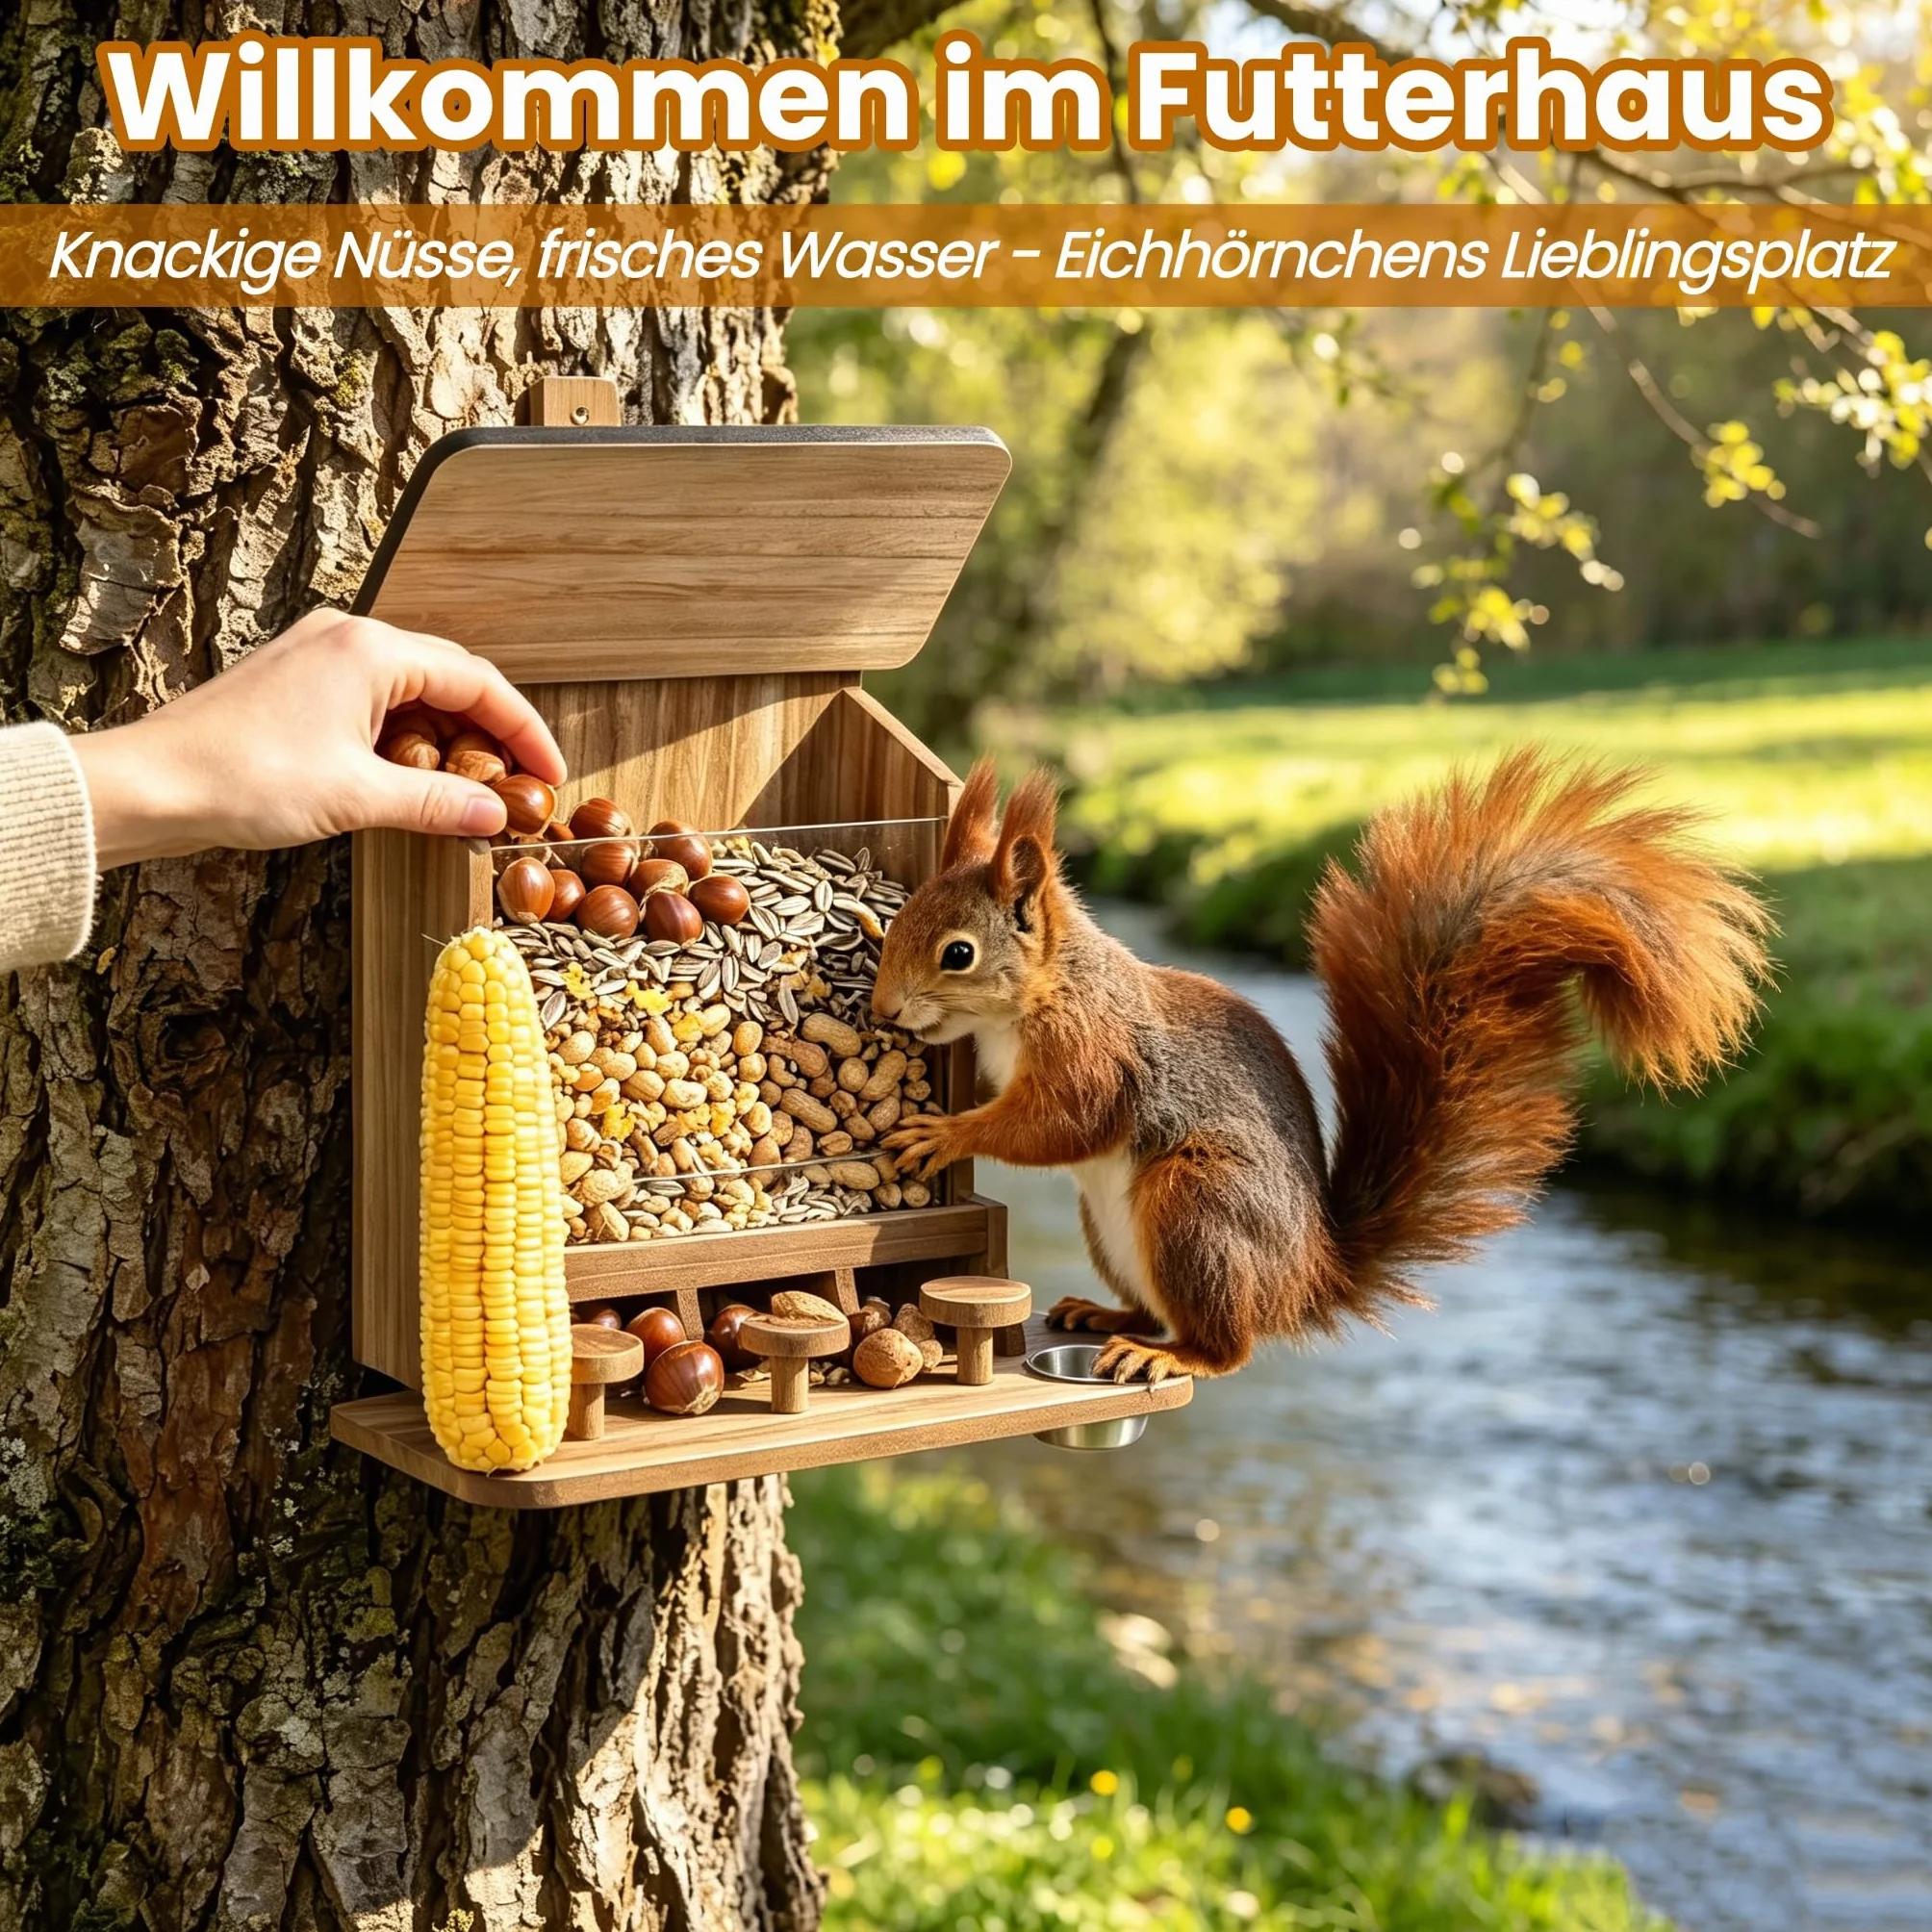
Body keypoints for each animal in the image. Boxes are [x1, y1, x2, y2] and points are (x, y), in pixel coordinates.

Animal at [874, 750, 1771, 1384]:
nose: (882, 1009)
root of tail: (1309, 1278)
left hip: (1199, 1202)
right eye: (899, 919)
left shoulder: (1095, 1049)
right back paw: (1106, 1318)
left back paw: (1172, 1356)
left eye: (958, 953)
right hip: (1118, 1229)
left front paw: (944, 1135)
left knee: (1225, 1346)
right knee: (1160, 1312)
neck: (1036, 998)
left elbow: (1063, 1122)